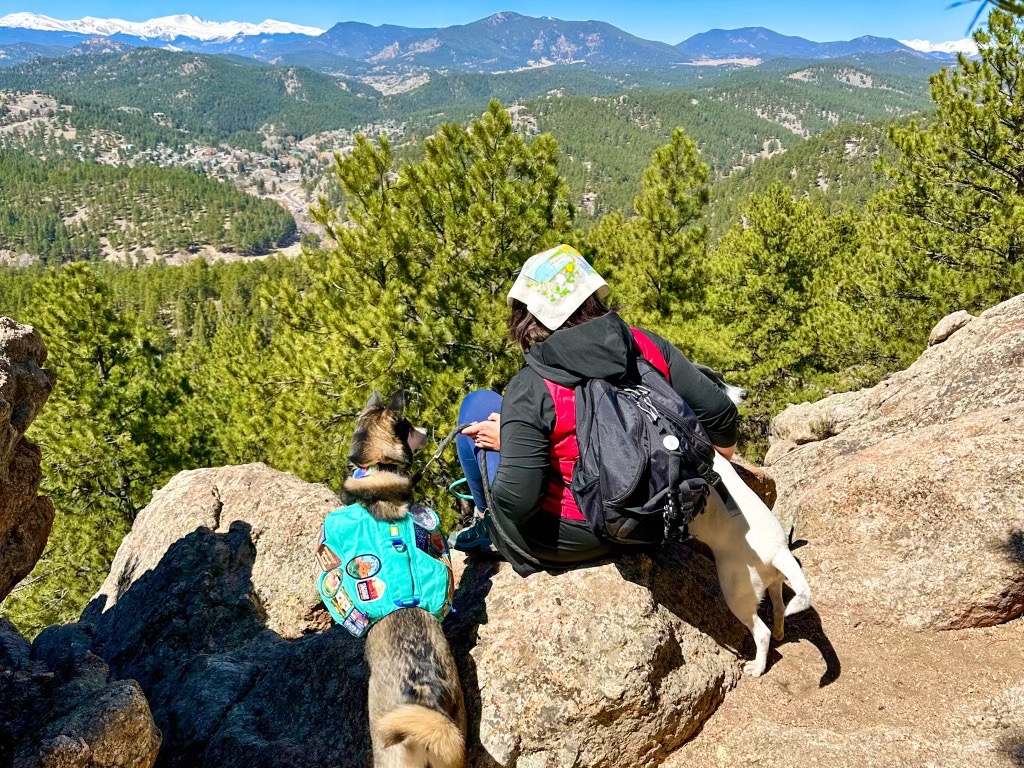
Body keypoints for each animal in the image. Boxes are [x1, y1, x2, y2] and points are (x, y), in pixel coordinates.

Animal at [684, 444, 811, 679]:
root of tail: (780, 550)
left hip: (737, 595)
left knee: (762, 633)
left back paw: (758, 667)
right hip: (775, 584)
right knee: (779, 609)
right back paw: (779, 632)